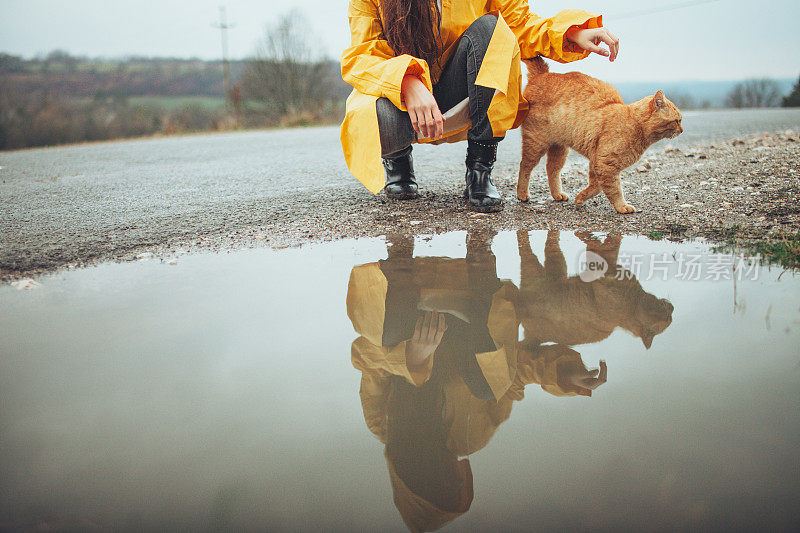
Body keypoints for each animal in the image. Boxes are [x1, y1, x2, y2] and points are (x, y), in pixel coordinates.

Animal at [520, 58, 680, 214]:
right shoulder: (604, 164)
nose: (682, 130)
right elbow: (613, 189)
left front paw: (580, 198)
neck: (634, 123)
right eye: (677, 121)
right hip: (536, 143)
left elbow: (596, 186)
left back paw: (557, 194)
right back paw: (522, 194)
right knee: (525, 166)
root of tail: (542, 74)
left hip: (559, 148)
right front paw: (622, 206)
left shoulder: (596, 161)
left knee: (552, 169)